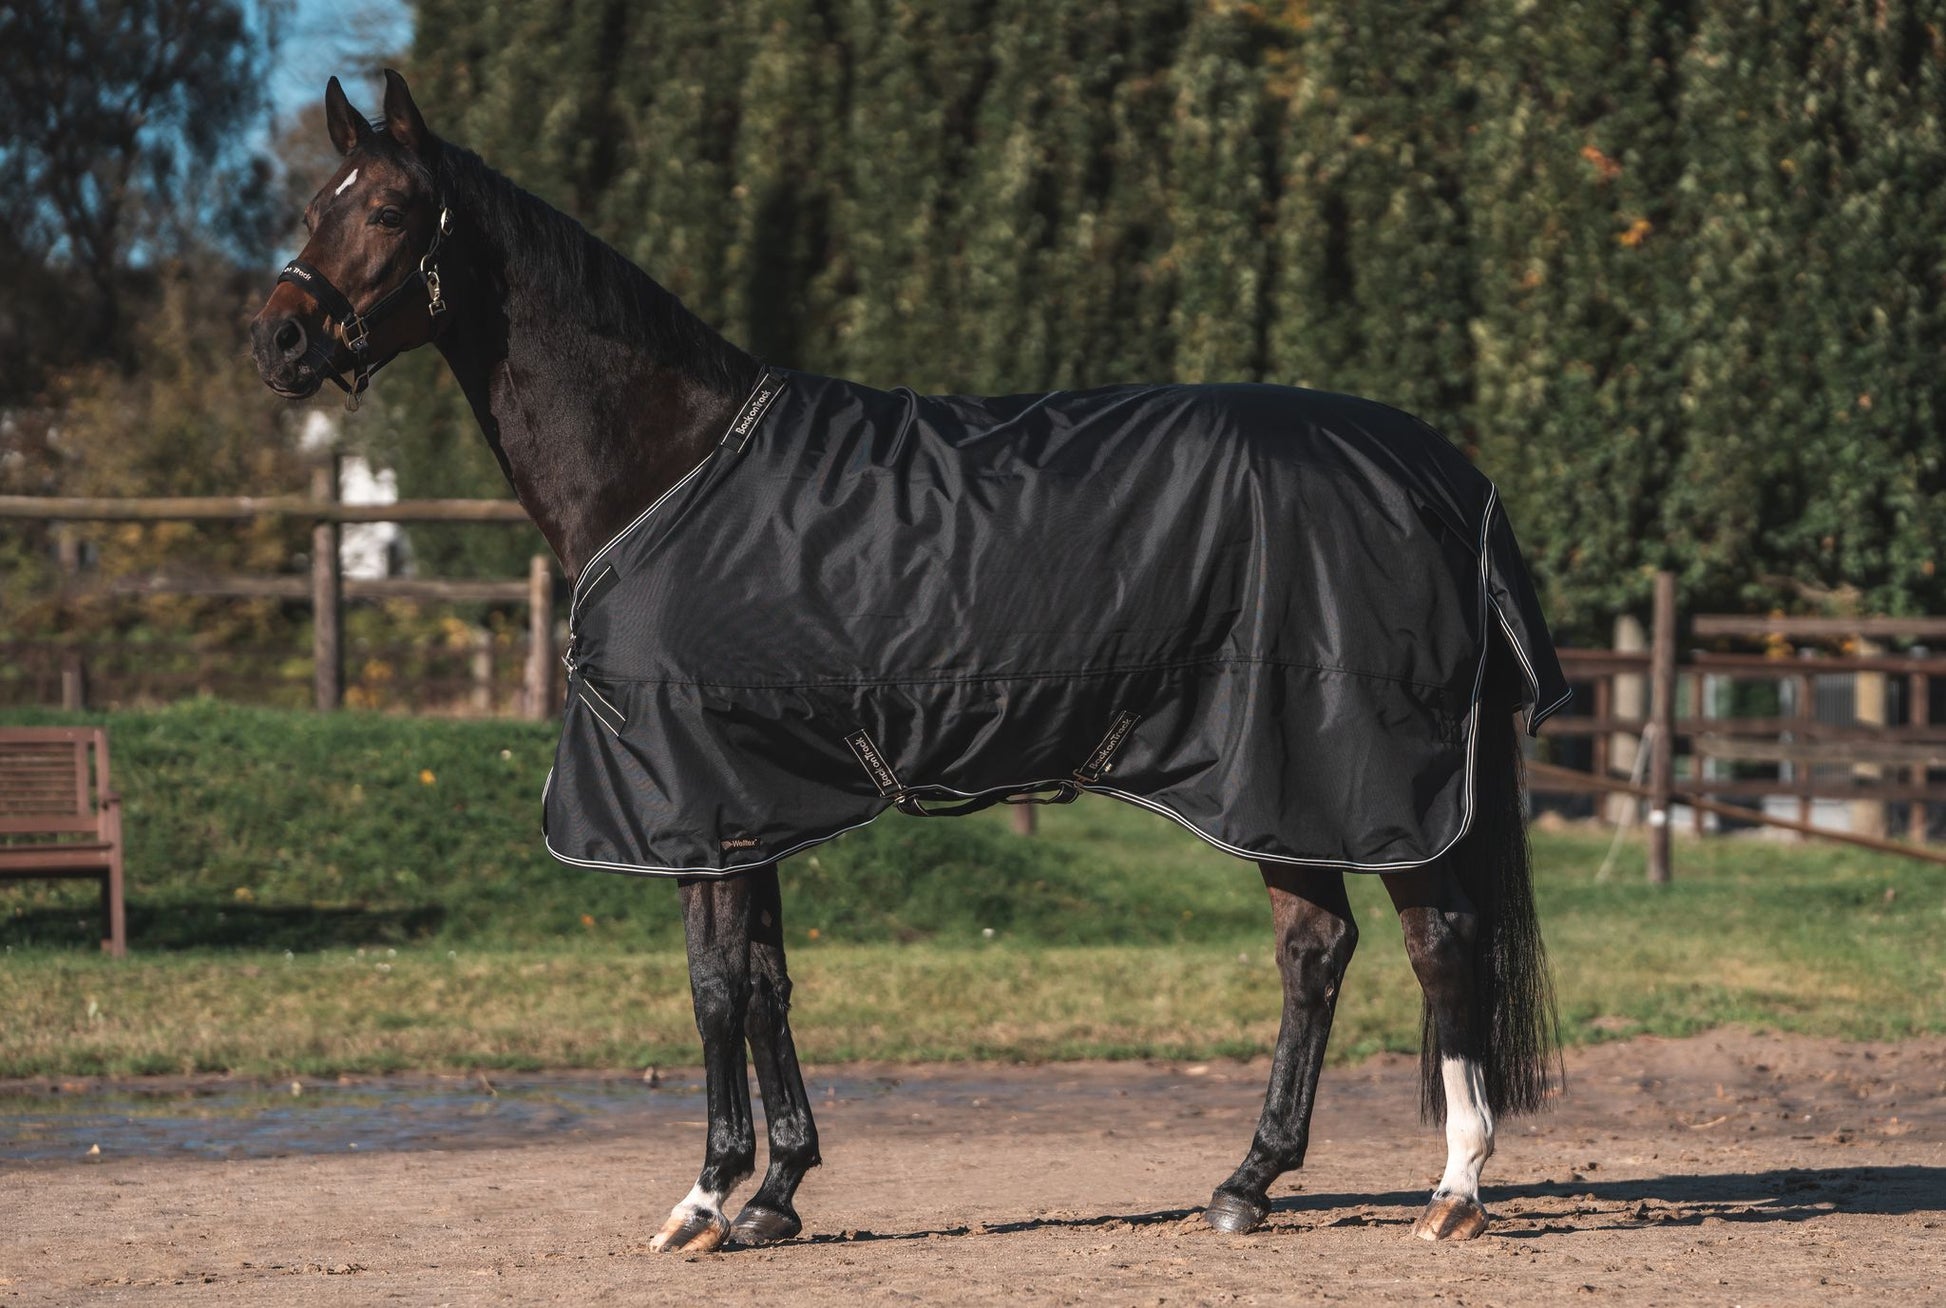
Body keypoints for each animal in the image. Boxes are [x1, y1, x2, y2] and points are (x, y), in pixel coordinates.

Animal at [251, 70, 1567, 1254]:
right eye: (315, 202)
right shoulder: (752, 799)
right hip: (1270, 781)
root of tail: (1439, 472)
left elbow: (713, 986)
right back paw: (1246, 1184)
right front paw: (778, 1193)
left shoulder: (695, 797)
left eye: (386, 210)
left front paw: (703, 1201)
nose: (277, 339)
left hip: (1358, 777)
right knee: (1314, 952)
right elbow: (766, 983)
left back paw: (1454, 1190)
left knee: (1437, 945)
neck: (673, 467)